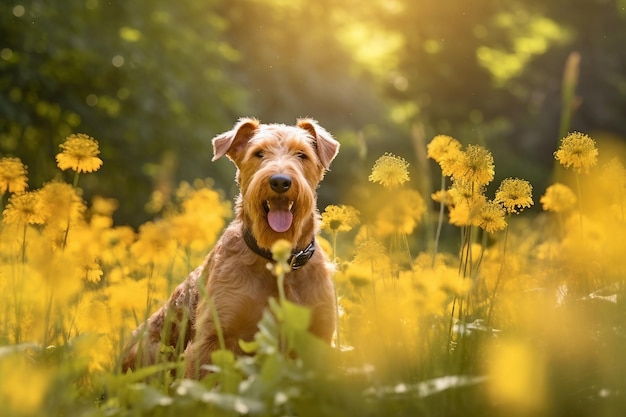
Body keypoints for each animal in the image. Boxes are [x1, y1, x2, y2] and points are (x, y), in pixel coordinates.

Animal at [120, 117, 338, 376]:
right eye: (258, 153)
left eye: (302, 154)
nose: (280, 181)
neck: (277, 263)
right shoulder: (214, 337)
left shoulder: (318, 336)